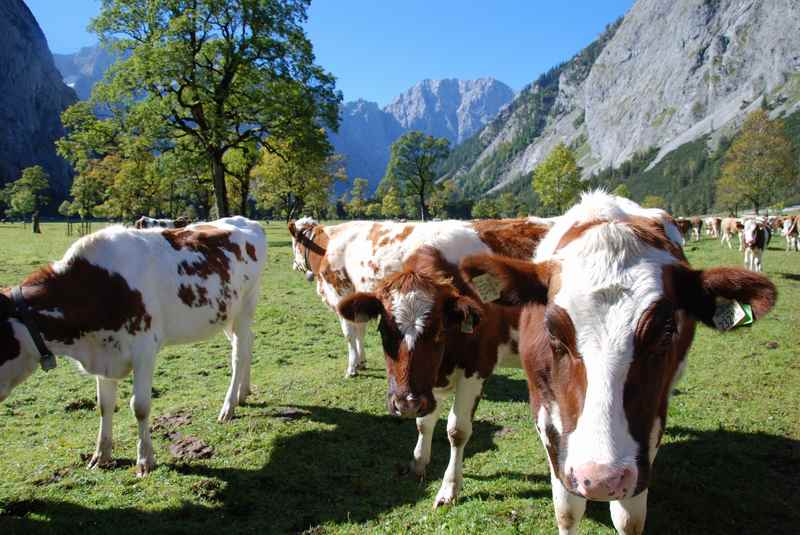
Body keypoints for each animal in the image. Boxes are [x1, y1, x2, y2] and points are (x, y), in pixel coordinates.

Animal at [0, 218, 268, 478]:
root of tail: (248, 221)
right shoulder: (103, 354)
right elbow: (104, 405)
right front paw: (101, 455)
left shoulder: (144, 350)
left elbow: (140, 406)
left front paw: (145, 460)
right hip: (227, 314)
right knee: (247, 343)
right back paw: (243, 393)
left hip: (245, 306)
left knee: (238, 354)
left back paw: (229, 406)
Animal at [290, 215, 556, 376]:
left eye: (294, 243)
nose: (294, 265)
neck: (328, 244)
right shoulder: (356, 293)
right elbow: (360, 330)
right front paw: (362, 362)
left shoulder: (338, 292)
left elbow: (349, 333)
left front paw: (352, 368)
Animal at [336, 246, 524, 506]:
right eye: (384, 329)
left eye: (438, 331)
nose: (404, 404)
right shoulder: (426, 389)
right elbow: (424, 423)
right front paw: (418, 463)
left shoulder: (478, 369)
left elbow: (457, 430)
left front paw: (449, 488)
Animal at [460, 192, 780, 535]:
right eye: (552, 332)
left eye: (666, 331)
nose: (601, 479)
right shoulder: (546, 415)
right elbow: (567, 510)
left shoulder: (650, 422)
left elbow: (629, 518)